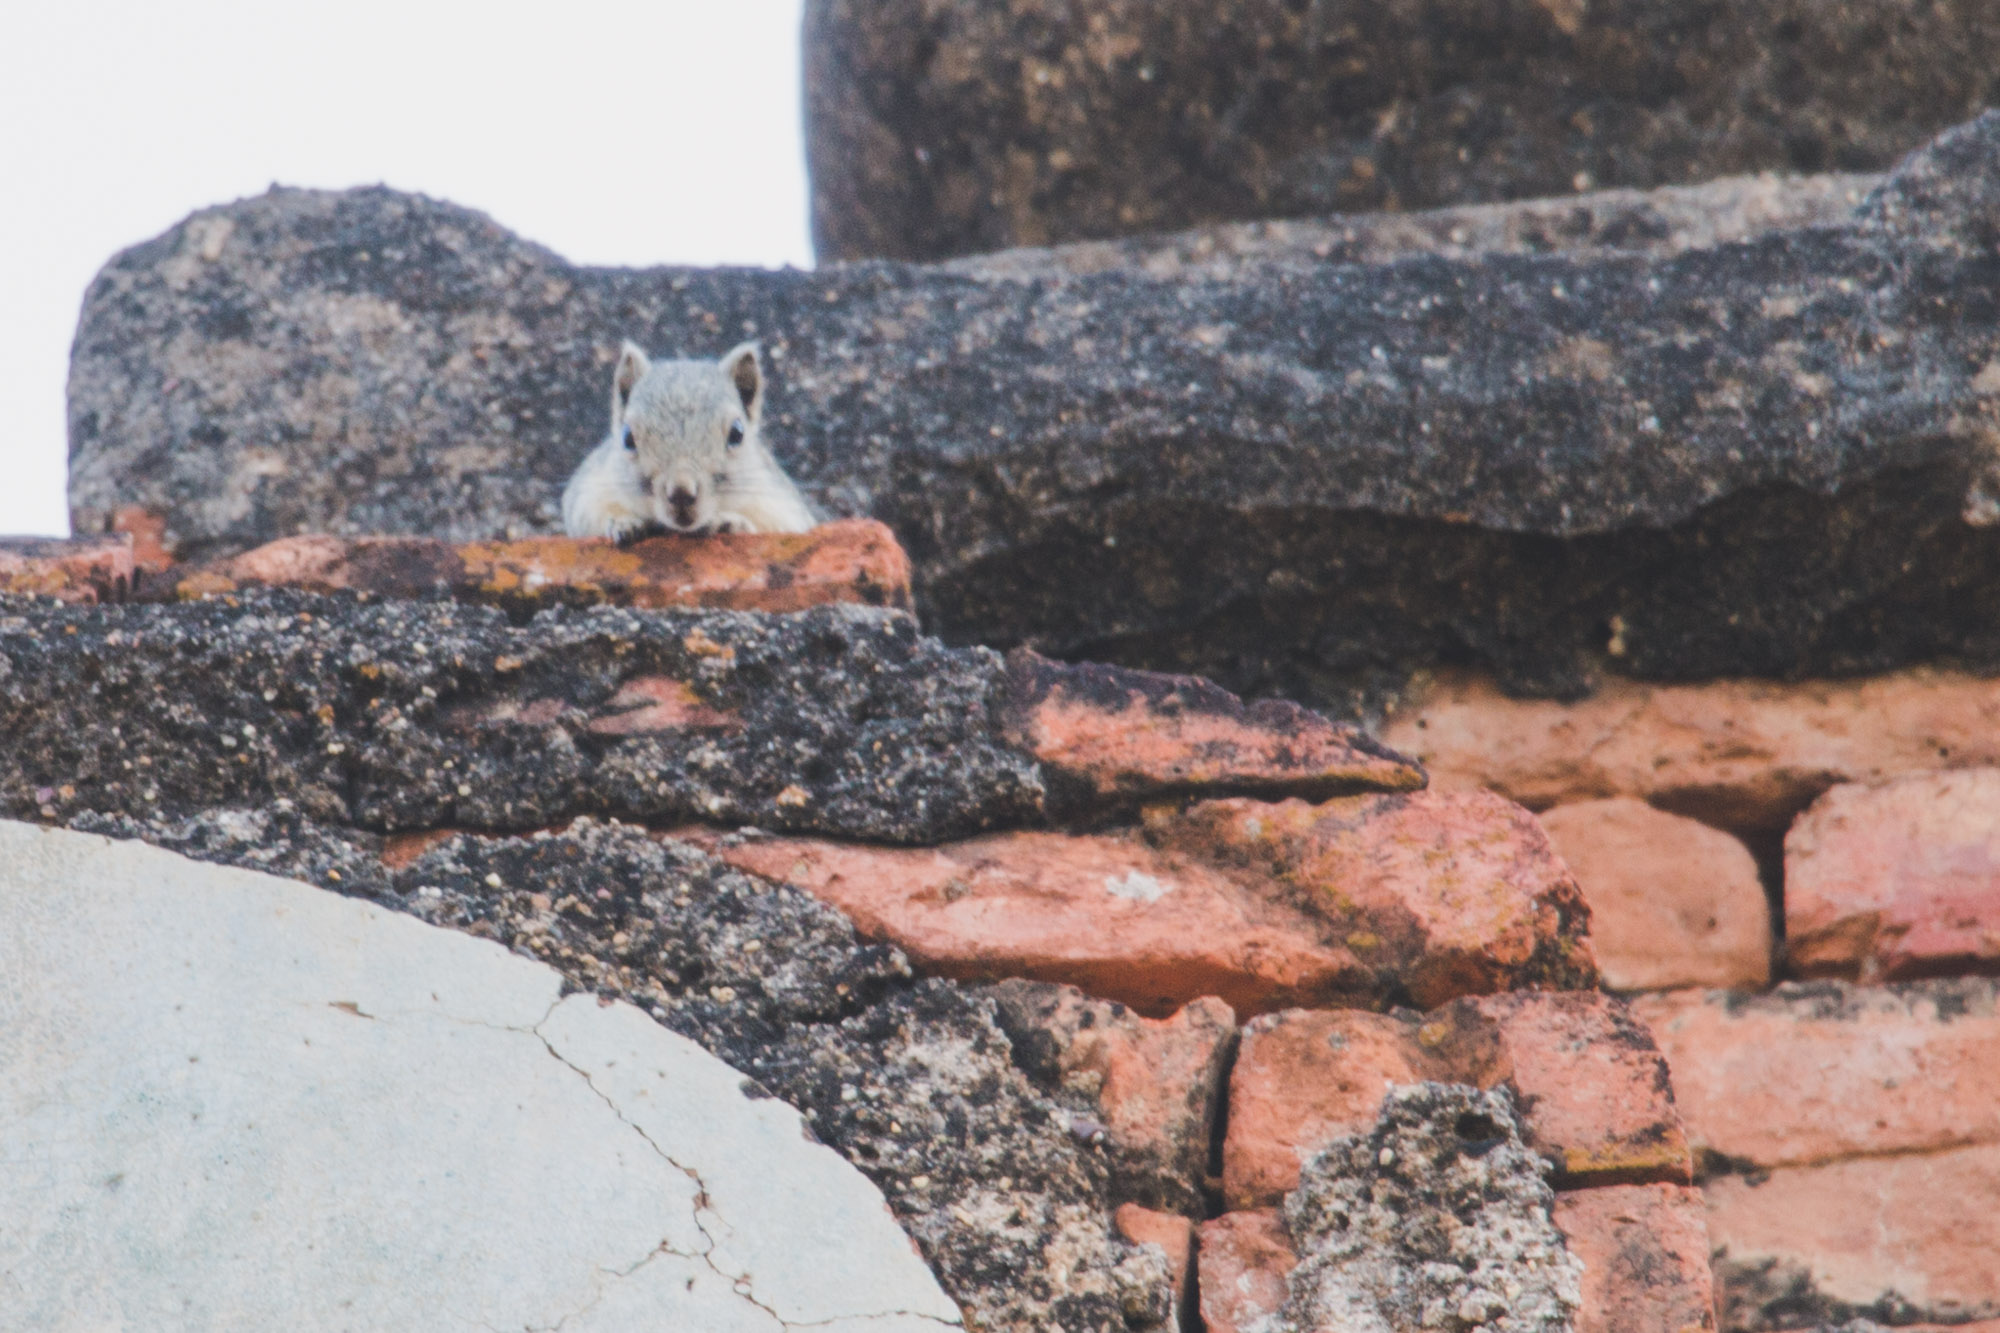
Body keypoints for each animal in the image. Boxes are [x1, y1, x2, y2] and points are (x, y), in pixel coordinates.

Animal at [560, 340, 816, 536]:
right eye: (627, 438)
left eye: (737, 434)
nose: (681, 493)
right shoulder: (592, 488)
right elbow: (585, 513)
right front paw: (623, 522)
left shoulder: (780, 503)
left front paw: (732, 523)